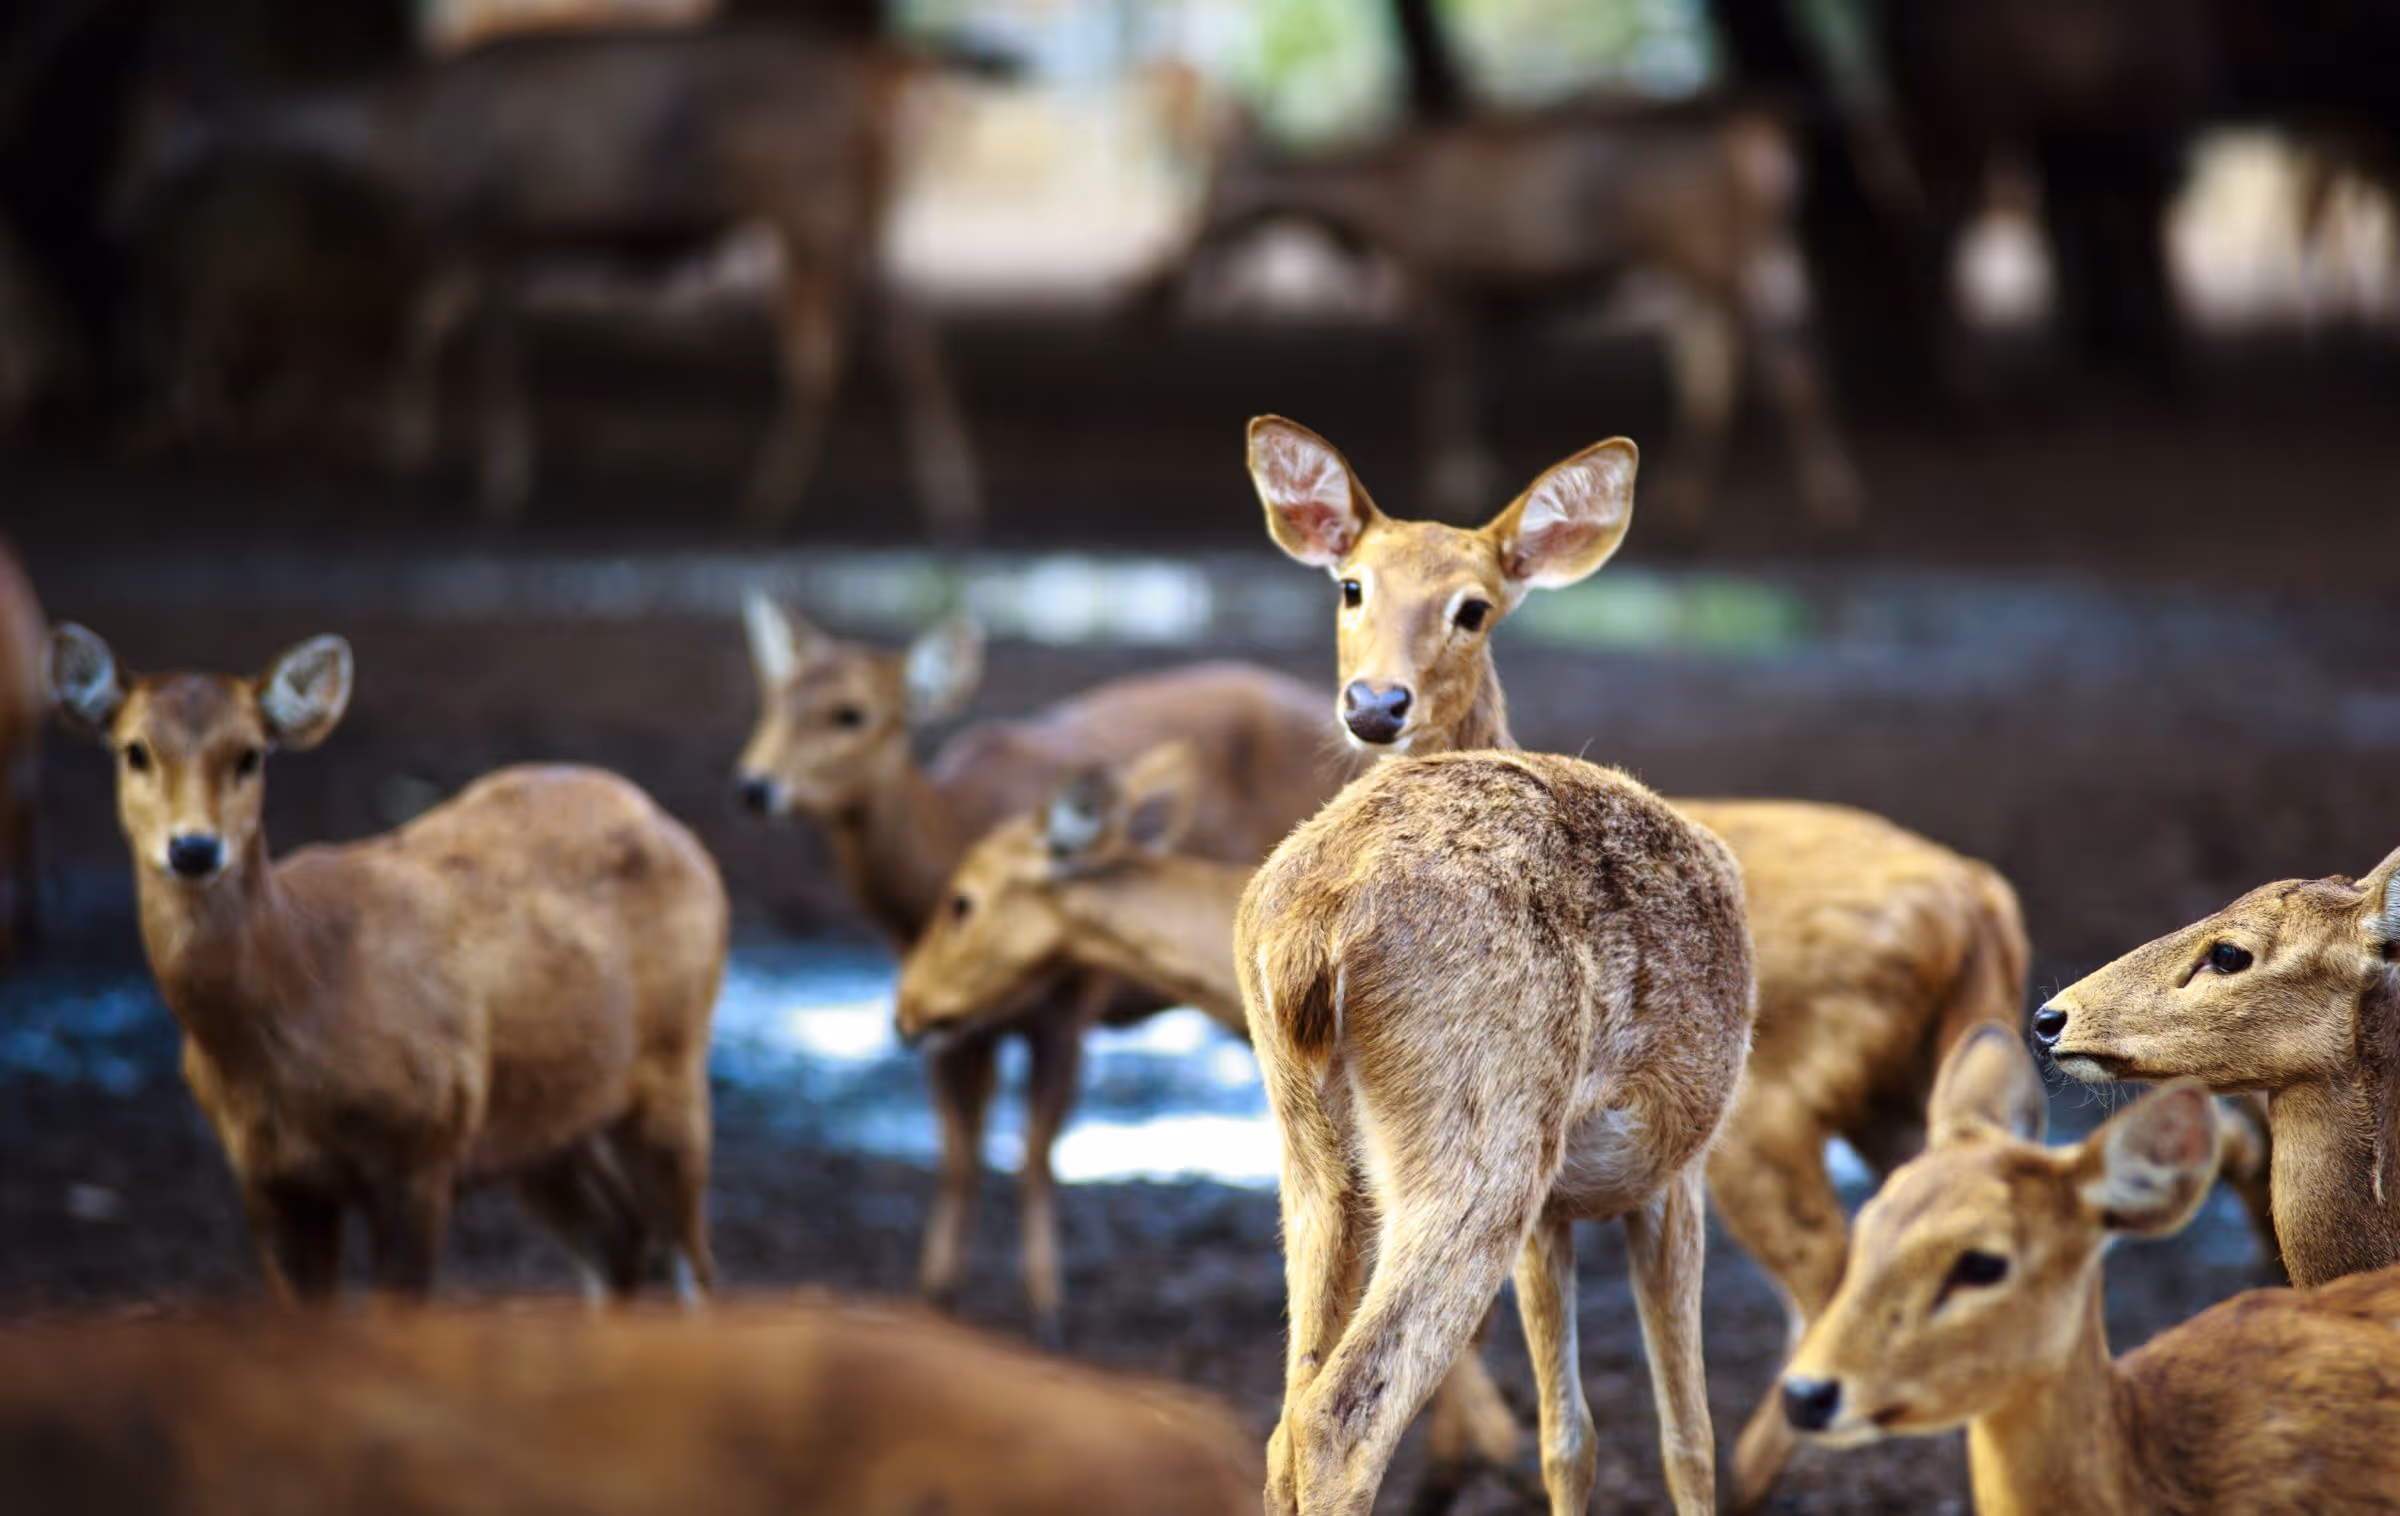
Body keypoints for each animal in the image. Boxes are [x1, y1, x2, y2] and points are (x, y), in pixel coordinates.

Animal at [45, 624, 727, 1303]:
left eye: (251, 754)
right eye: (134, 750)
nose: (192, 847)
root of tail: (682, 836)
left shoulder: (426, 1146)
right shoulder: (266, 1177)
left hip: (672, 1068)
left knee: (690, 1263)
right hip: (550, 1123)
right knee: (617, 1243)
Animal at [117, 23, 989, 533]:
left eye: (149, 133)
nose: (124, 221)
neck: (388, 137)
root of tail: (894, 73)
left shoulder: (483, 223)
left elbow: (474, 344)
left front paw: (493, 479)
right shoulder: (485, 244)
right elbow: (433, 323)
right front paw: (408, 444)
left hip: (819, 202)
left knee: (896, 332)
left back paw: (925, 500)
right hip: (839, 213)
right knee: (833, 343)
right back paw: (785, 493)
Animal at [1137, 94, 1862, 531]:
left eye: (1213, 185)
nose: (1160, 284)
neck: (1381, 207)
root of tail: (1765, 149)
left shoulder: (1445, 281)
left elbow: (1445, 384)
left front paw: (1456, 478)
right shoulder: (1487, 296)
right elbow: (1475, 383)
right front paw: (1482, 473)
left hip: (1716, 255)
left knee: (1783, 367)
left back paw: (1829, 499)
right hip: (1715, 265)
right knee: (1715, 371)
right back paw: (1686, 498)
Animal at [1238, 746, 1756, 1515]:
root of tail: (1310, 926)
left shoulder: (1553, 1213)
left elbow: (1568, 1438)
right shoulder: (1677, 1175)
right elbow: (1689, 1438)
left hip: (1313, 1152)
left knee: (1284, 1430)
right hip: (1488, 1141)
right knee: (1339, 1418)